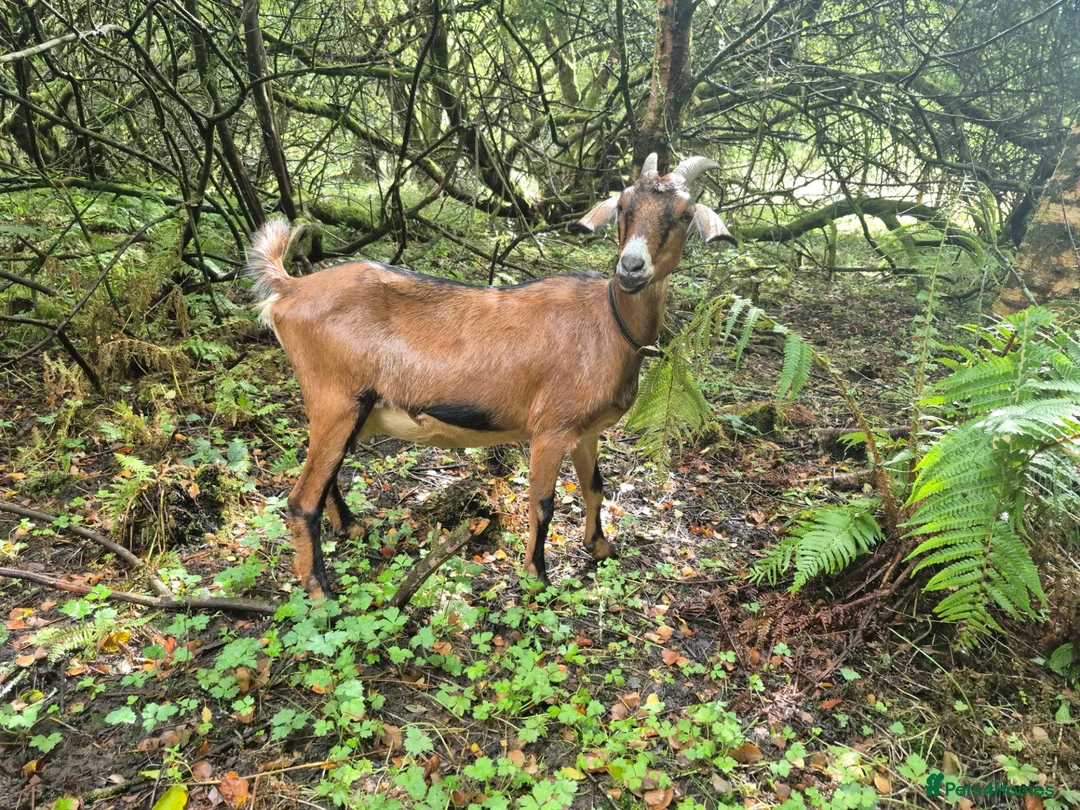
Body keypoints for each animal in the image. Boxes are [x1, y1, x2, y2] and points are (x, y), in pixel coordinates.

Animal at [246, 153, 735, 598]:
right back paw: (320, 590)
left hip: (353, 411)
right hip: (335, 399)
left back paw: (351, 528)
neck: (608, 323)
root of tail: (289, 289)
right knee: (301, 499)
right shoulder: (551, 428)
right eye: (622, 206)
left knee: (326, 480)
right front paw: (537, 578)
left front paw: (599, 548)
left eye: (685, 214)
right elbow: (543, 503)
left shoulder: (586, 430)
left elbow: (595, 486)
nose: (631, 267)